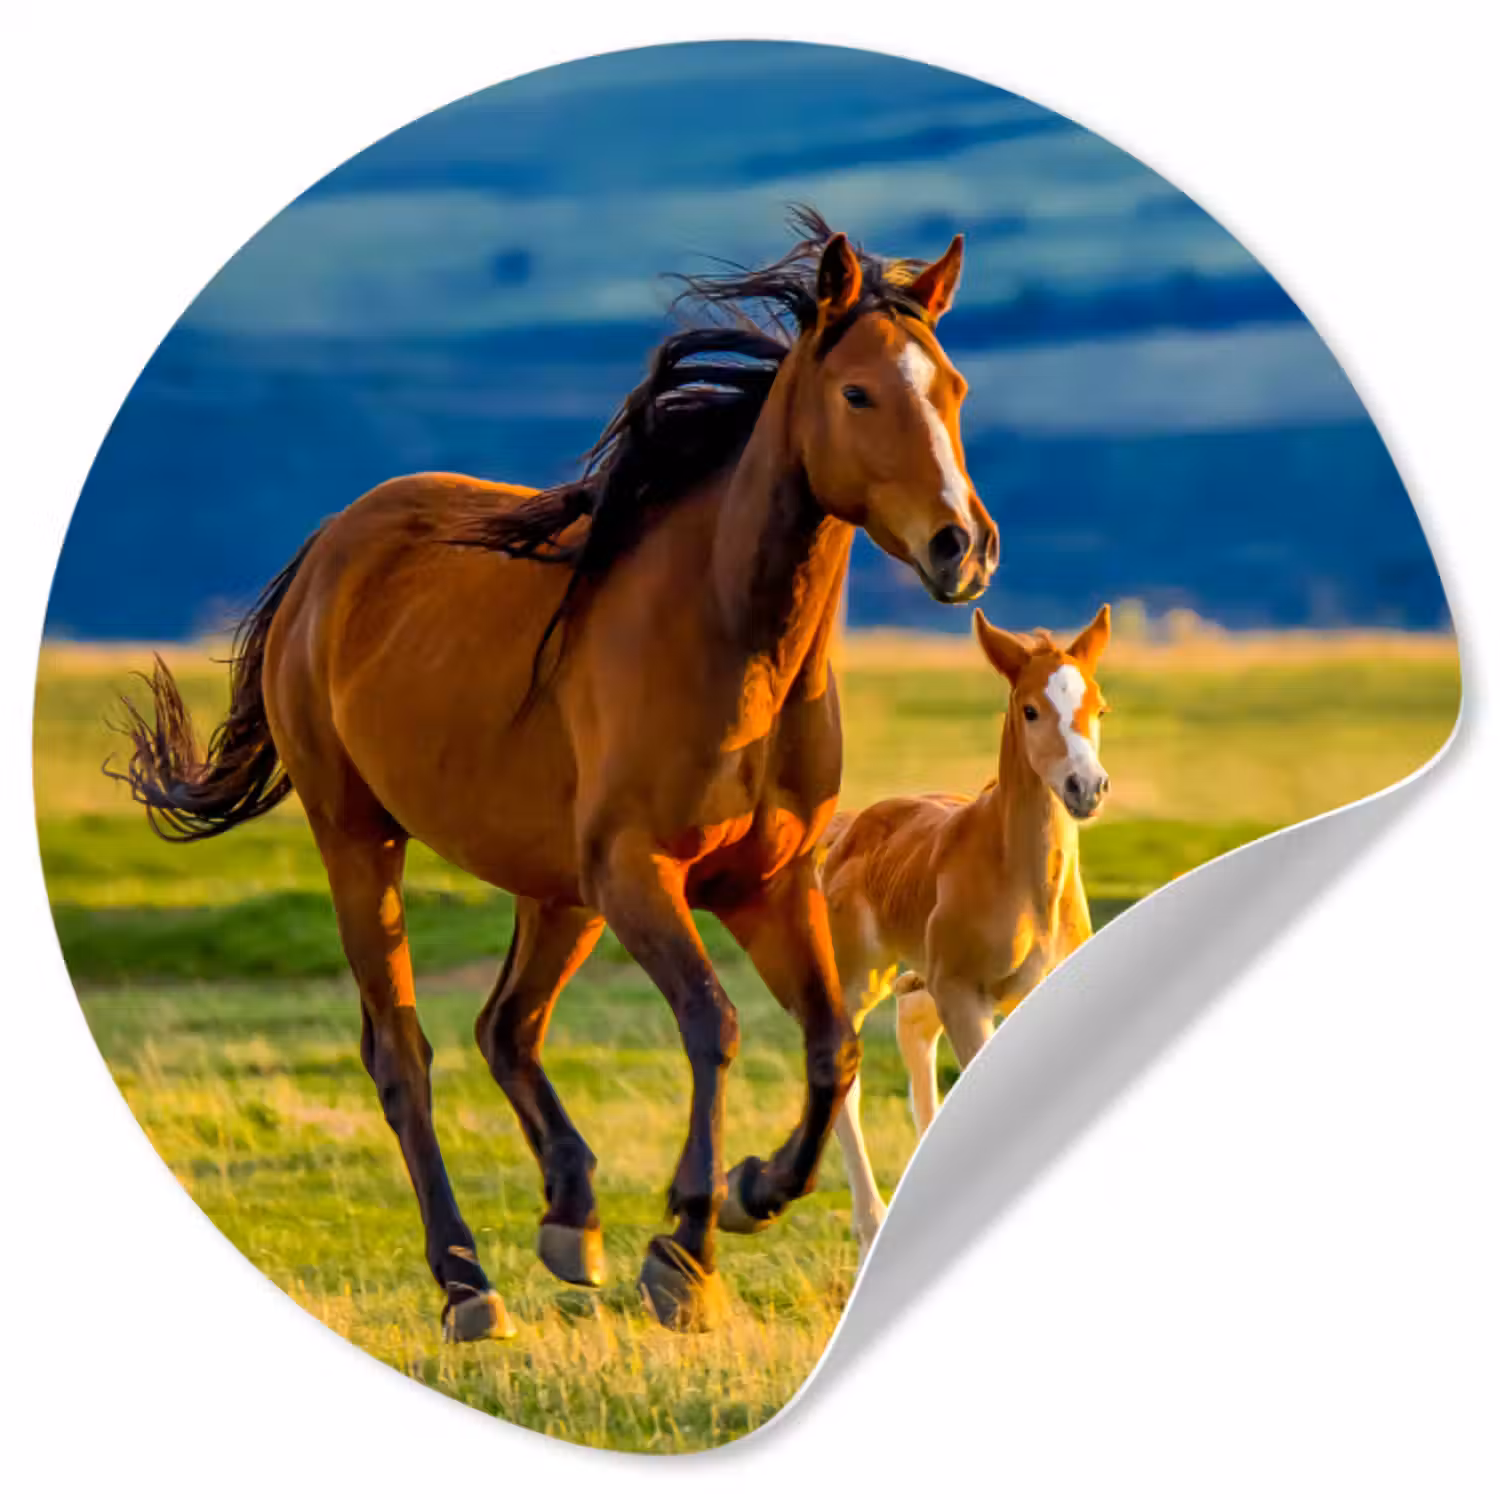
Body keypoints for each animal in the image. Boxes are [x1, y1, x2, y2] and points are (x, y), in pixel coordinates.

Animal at [109, 209, 999, 1338]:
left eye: (954, 388)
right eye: (857, 393)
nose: (963, 547)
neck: (730, 643)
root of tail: (329, 551)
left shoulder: (766, 883)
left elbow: (831, 1045)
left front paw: (750, 1192)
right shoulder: (640, 874)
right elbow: (713, 1025)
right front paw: (685, 1251)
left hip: (556, 890)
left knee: (507, 1027)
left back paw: (571, 1217)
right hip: (364, 840)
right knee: (403, 1053)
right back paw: (467, 1283)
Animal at [820, 605, 1112, 1256]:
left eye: (1100, 707)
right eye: (1030, 709)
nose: (1086, 788)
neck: (1026, 885)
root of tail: (850, 828)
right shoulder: (962, 993)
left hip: (925, 981)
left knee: (912, 1030)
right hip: (860, 980)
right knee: (845, 1077)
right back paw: (871, 1225)